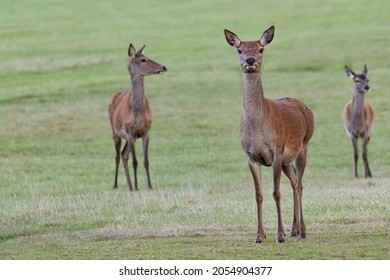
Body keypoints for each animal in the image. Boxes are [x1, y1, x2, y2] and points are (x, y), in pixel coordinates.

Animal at [108, 43, 166, 191]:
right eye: (143, 59)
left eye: (147, 56)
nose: (164, 67)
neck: (138, 114)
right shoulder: (129, 132)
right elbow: (135, 161)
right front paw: (137, 187)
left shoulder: (146, 131)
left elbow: (146, 161)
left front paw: (149, 186)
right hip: (115, 132)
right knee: (117, 156)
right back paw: (116, 185)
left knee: (124, 155)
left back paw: (129, 186)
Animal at [224, 26, 316, 245]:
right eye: (239, 50)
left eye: (261, 49)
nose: (250, 61)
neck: (258, 127)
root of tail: (307, 109)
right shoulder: (251, 157)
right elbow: (258, 194)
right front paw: (259, 236)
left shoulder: (276, 152)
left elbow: (276, 193)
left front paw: (279, 236)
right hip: (286, 160)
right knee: (294, 180)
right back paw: (294, 230)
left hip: (303, 146)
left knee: (299, 184)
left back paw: (302, 231)